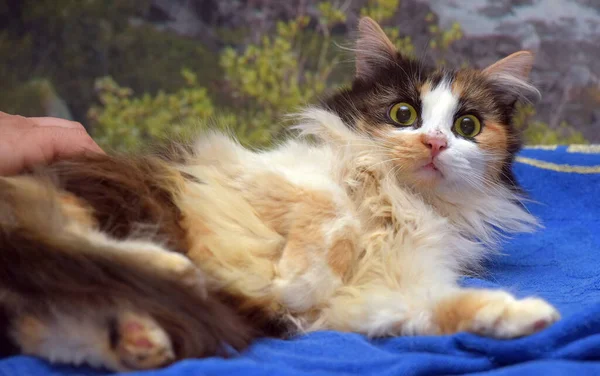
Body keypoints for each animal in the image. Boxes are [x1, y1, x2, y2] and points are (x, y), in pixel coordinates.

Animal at [2, 16, 560, 370]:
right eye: (404, 114)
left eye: (467, 126)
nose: (435, 142)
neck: (399, 201)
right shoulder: (248, 168)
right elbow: (332, 210)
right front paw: (298, 280)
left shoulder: (379, 296)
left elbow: (448, 308)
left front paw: (526, 315)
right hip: (96, 200)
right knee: (62, 238)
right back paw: (176, 272)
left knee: (53, 325)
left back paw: (142, 337)